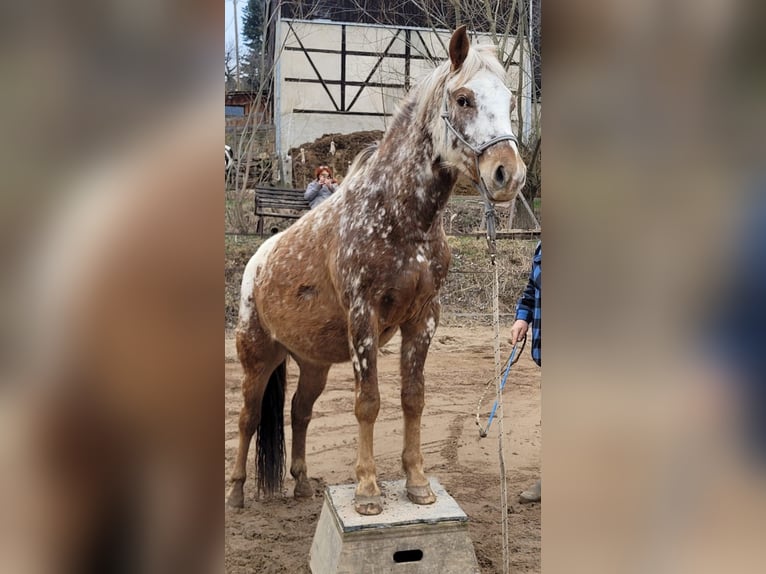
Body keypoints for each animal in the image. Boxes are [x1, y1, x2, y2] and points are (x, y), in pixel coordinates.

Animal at [227, 26, 526, 516]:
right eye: (463, 99)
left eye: (510, 99)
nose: (508, 175)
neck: (399, 216)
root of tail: (257, 261)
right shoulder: (363, 318)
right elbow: (368, 402)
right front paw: (367, 491)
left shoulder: (423, 319)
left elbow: (412, 398)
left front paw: (417, 483)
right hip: (257, 358)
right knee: (248, 417)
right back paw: (235, 492)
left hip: (311, 363)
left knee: (299, 412)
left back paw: (302, 483)